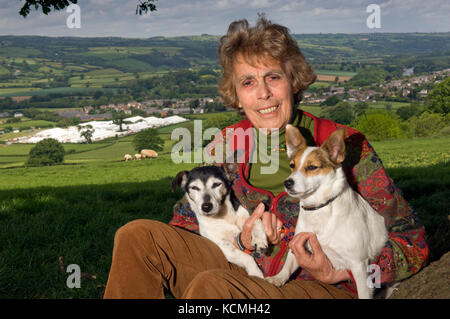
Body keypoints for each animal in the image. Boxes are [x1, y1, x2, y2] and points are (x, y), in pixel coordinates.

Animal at [266, 125, 388, 300]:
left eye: (312, 167)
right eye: (292, 165)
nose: (287, 182)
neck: (319, 207)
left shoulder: (359, 265)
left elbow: (364, 293)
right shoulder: (299, 245)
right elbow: (288, 264)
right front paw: (279, 278)